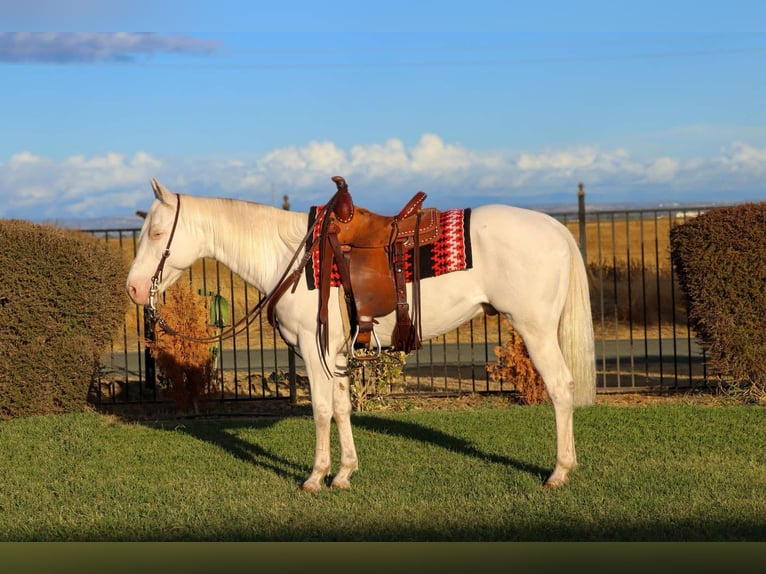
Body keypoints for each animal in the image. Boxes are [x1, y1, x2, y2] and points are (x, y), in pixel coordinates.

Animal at [126, 178, 596, 492]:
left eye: (156, 232)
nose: (133, 288)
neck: (290, 256)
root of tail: (556, 228)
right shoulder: (334, 354)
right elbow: (341, 408)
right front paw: (344, 473)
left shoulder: (313, 350)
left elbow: (320, 410)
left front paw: (315, 477)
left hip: (535, 329)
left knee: (560, 387)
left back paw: (559, 471)